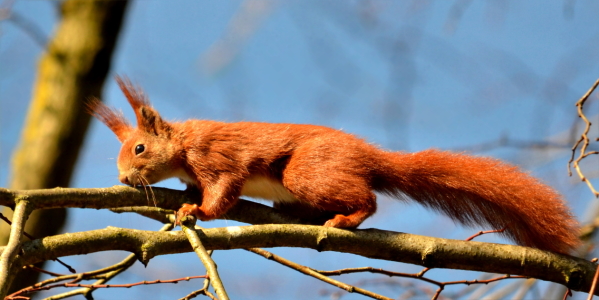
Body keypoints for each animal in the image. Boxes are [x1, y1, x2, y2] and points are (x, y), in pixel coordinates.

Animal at [89, 77, 580, 253]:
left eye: (139, 149)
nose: (122, 178)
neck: (185, 147)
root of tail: (370, 156)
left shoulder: (216, 157)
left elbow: (225, 190)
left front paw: (197, 211)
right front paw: (185, 202)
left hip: (308, 171)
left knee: (368, 199)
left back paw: (346, 218)